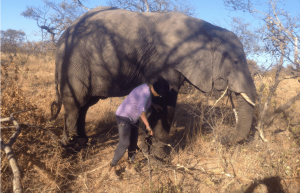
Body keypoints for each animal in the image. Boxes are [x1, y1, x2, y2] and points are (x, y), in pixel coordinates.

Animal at [51, 6, 255, 157]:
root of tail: (63, 35)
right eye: (234, 61)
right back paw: (69, 150)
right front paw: (160, 159)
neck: (207, 29)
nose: (218, 138)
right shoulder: (163, 62)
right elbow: (166, 103)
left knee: (85, 105)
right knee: (75, 104)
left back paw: (81, 143)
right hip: (74, 62)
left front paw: (147, 151)